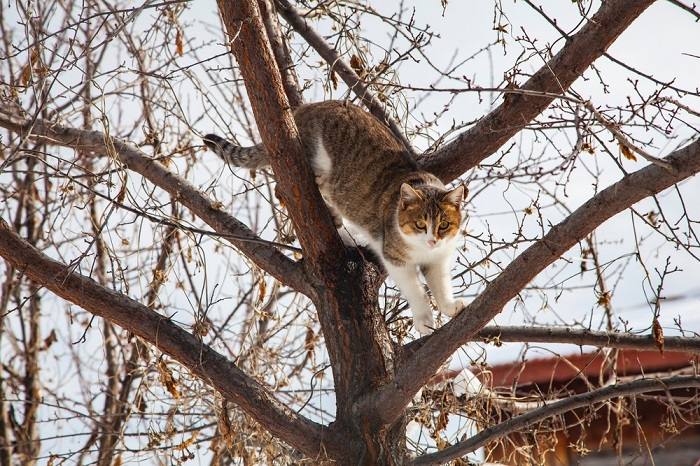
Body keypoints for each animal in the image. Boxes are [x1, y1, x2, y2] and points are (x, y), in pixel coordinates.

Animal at [202, 102, 464, 334]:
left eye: (444, 225)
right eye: (420, 224)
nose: (432, 240)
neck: (422, 250)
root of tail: (305, 108)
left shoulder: (439, 259)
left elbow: (440, 284)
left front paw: (449, 306)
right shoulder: (395, 257)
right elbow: (415, 290)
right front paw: (424, 320)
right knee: (282, 189)